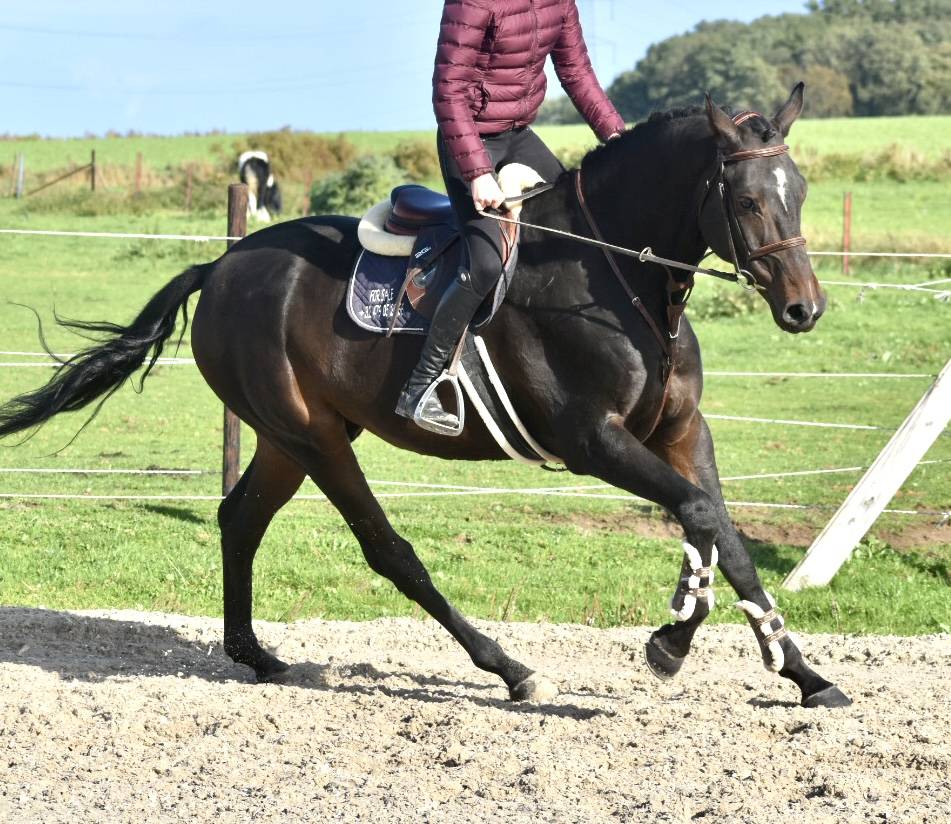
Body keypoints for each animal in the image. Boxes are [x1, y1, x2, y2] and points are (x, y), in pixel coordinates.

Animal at [0, 84, 851, 709]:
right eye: (745, 201)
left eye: (801, 192)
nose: (804, 309)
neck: (617, 280)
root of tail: (223, 265)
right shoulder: (593, 441)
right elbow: (700, 516)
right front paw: (670, 643)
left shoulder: (680, 431)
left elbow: (725, 536)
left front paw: (800, 673)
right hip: (317, 440)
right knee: (389, 552)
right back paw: (509, 668)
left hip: (287, 439)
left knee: (239, 519)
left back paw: (254, 655)